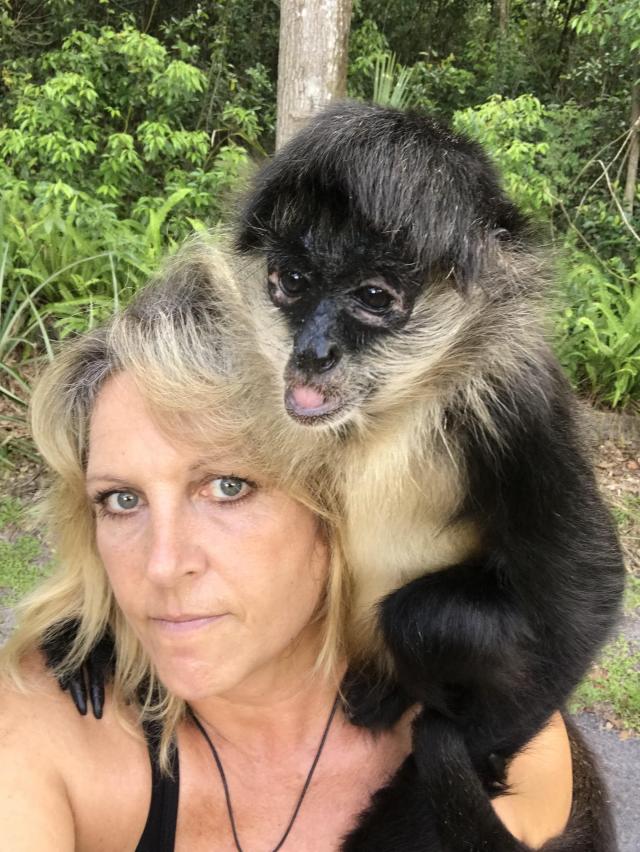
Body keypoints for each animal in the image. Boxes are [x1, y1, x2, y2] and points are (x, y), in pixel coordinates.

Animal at [232, 100, 625, 850]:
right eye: (292, 282)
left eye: (373, 296)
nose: (312, 352)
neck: (399, 406)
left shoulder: (516, 396)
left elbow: (588, 591)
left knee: (429, 617)